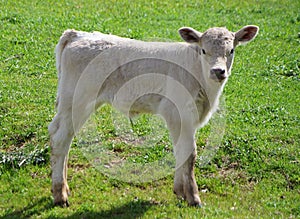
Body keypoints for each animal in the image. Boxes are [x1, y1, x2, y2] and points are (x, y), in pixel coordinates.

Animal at [48, 24, 258, 206]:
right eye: (204, 50)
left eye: (231, 50)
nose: (218, 71)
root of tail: (78, 34)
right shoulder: (177, 112)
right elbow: (189, 153)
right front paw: (193, 197)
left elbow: (180, 150)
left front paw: (180, 190)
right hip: (78, 100)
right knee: (61, 139)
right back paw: (60, 194)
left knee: (59, 133)